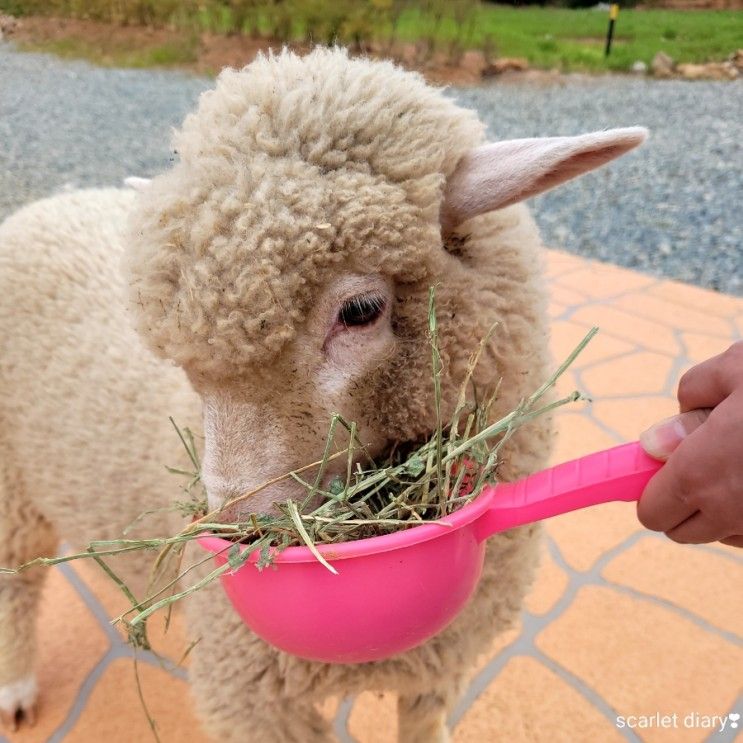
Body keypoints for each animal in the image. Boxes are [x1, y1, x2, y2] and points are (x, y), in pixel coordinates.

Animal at [0, 49, 644, 740]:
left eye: (360, 311)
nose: (239, 534)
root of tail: (44, 207)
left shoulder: (437, 668)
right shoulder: (249, 693)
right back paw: (16, 688)